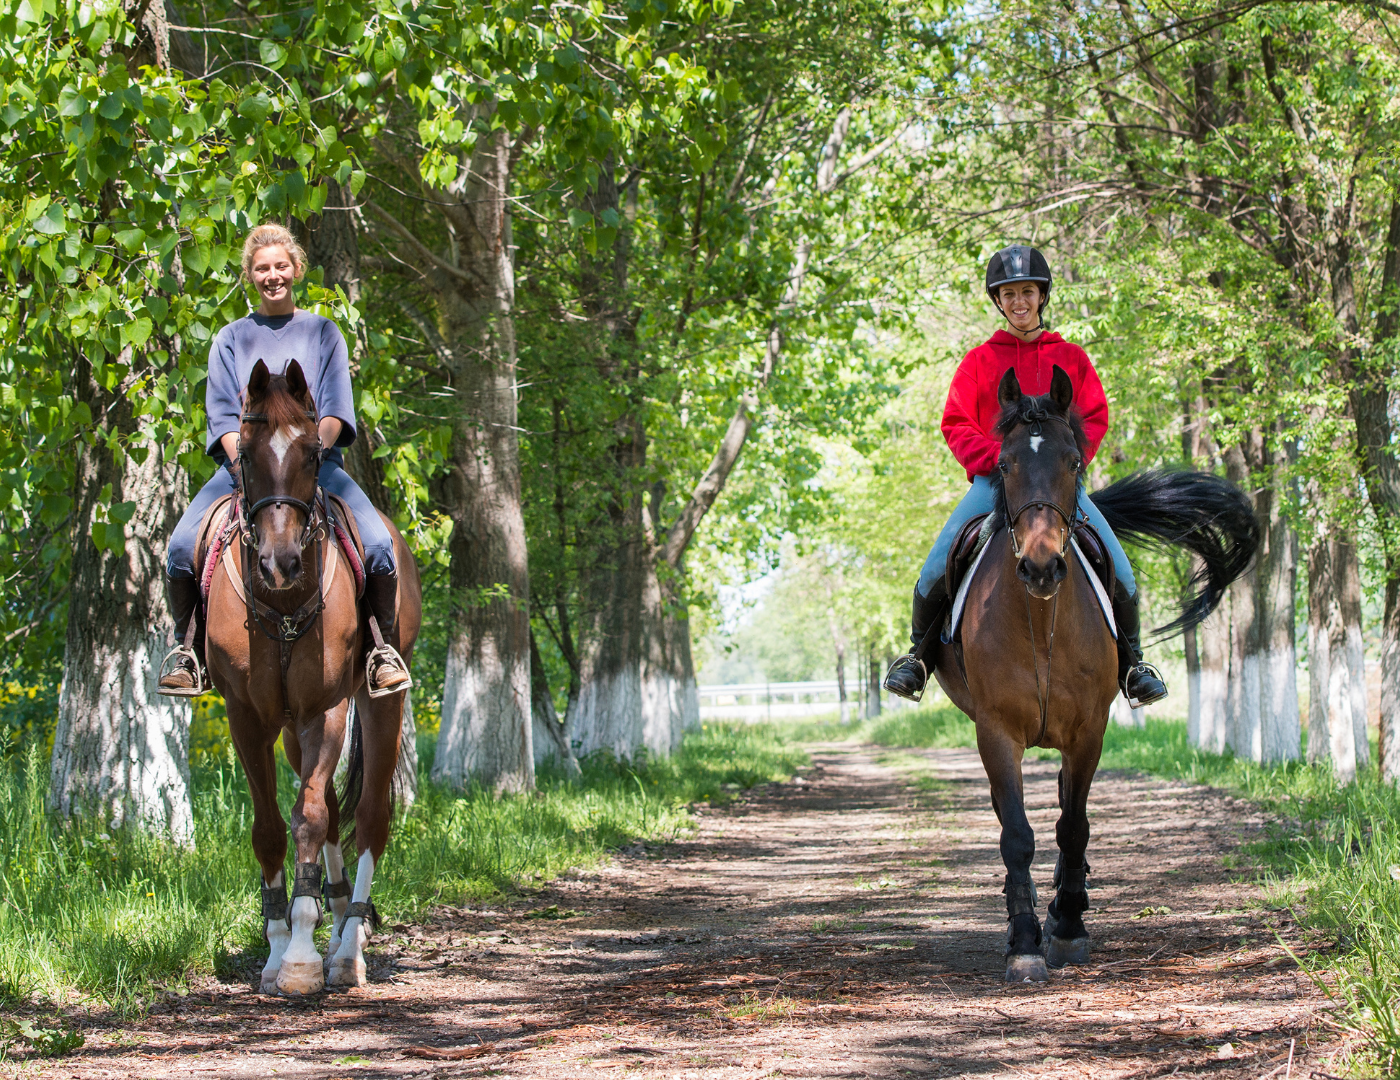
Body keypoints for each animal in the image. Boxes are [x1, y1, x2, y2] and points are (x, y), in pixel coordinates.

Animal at [204, 364, 420, 997]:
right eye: (245, 455)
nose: (280, 563)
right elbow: (273, 828)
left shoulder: (324, 708)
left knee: (368, 817)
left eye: (311, 452)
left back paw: (347, 950)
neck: (280, 605)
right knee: (321, 797)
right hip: (294, 732)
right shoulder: (248, 717)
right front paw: (279, 951)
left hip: (378, 703)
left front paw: (301, 956)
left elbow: (311, 819)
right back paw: (339, 917)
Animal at [935, 367, 1265, 986]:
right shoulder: (996, 732)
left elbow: (1074, 826)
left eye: (1072, 461)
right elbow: (1017, 835)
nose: (1041, 568)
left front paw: (1066, 927)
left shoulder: (1089, 730)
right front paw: (1024, 942)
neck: (1041, 619)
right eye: (1005, 464)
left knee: (1070, 811)